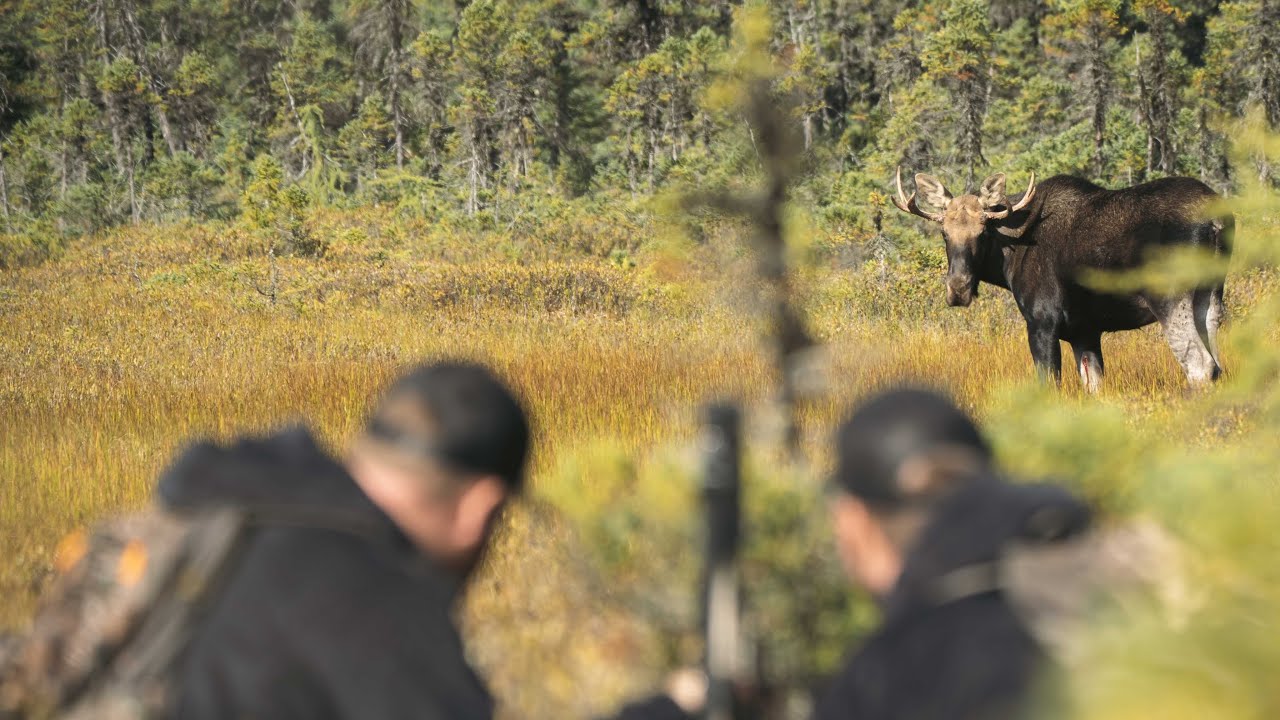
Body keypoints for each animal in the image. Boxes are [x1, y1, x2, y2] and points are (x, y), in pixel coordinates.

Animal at [890, 166, 1228, 386]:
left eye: (983, 233)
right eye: (944, 233)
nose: (958, 289)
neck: (1008, 261)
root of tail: (1217, 220)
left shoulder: (1042, 322)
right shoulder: (1085, 332)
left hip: (1169, 297)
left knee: (1199, 366)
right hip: (1211, 299)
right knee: (1217, 364)